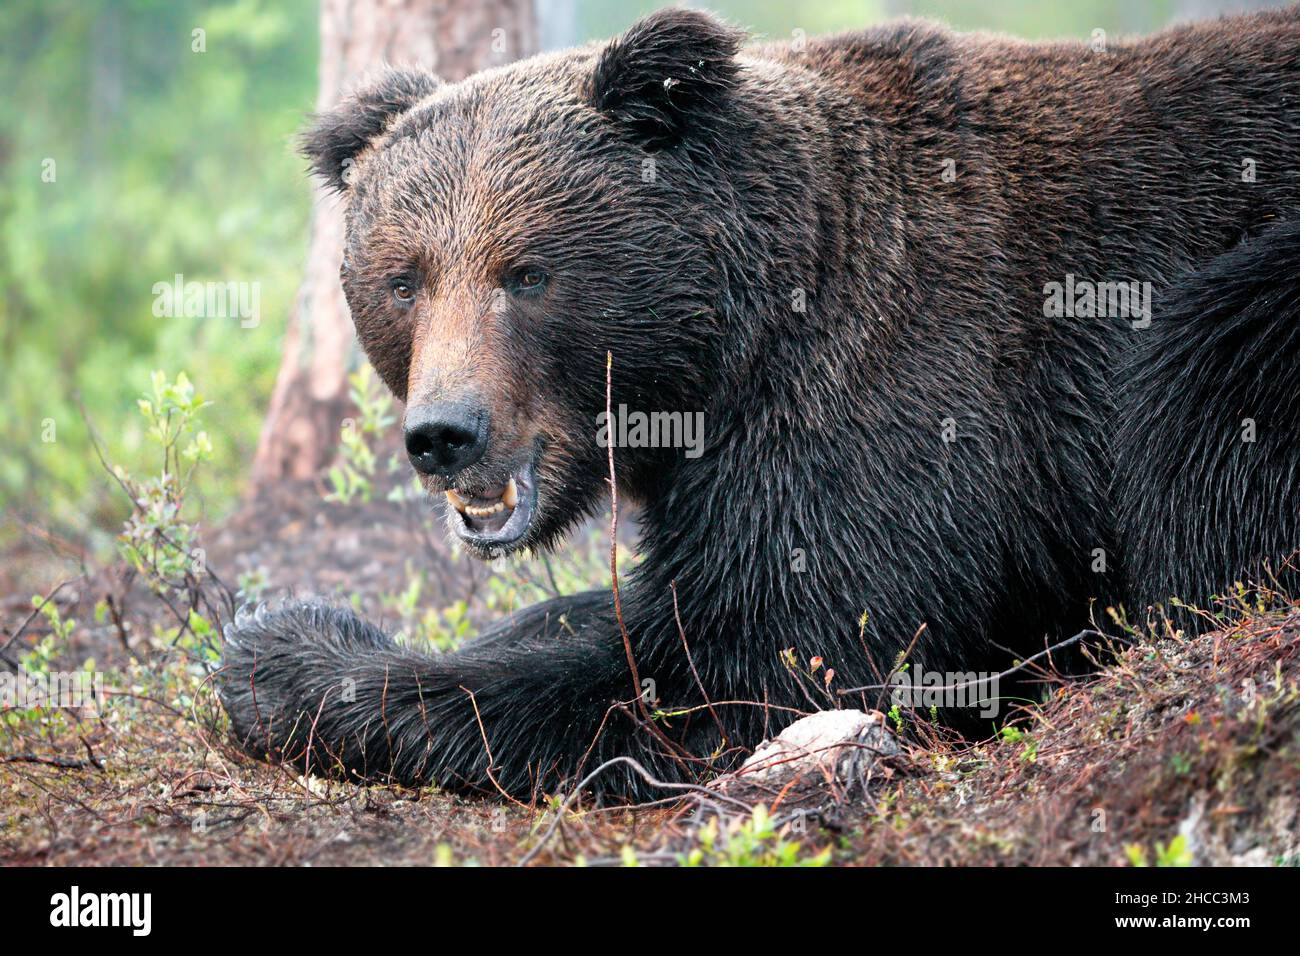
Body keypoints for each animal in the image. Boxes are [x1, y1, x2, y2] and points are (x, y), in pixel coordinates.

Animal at [219, 7, 1300, 801]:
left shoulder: (901, 392)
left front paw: (289, 650)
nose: (444, 434)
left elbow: (750, 659)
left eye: (525, 273)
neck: (726, 359)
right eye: (404, 278)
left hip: (1241, 285)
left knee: (1200, 400)